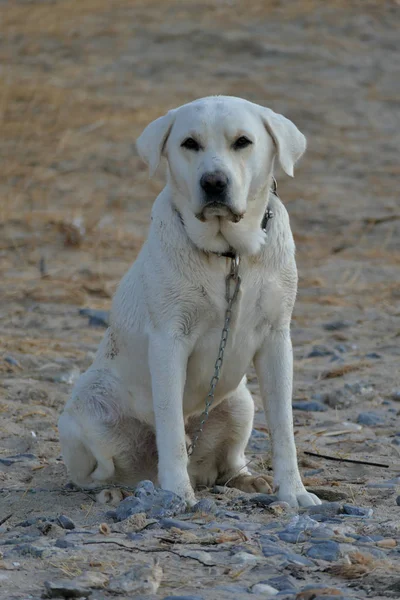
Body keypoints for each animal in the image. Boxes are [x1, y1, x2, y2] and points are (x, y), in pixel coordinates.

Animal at [58, 97, 322, 506]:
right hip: (87, 404)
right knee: (99, 472)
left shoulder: (277, 340)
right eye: (189, 144)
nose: (213, 182)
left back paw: (246, 480)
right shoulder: (169, 341)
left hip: (240, 403)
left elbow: (283, 427)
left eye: (243, 142)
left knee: (225, 463)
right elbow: (169, 426)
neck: (230, 254)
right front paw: (177, 494)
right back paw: (115, 491)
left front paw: (293, 491)